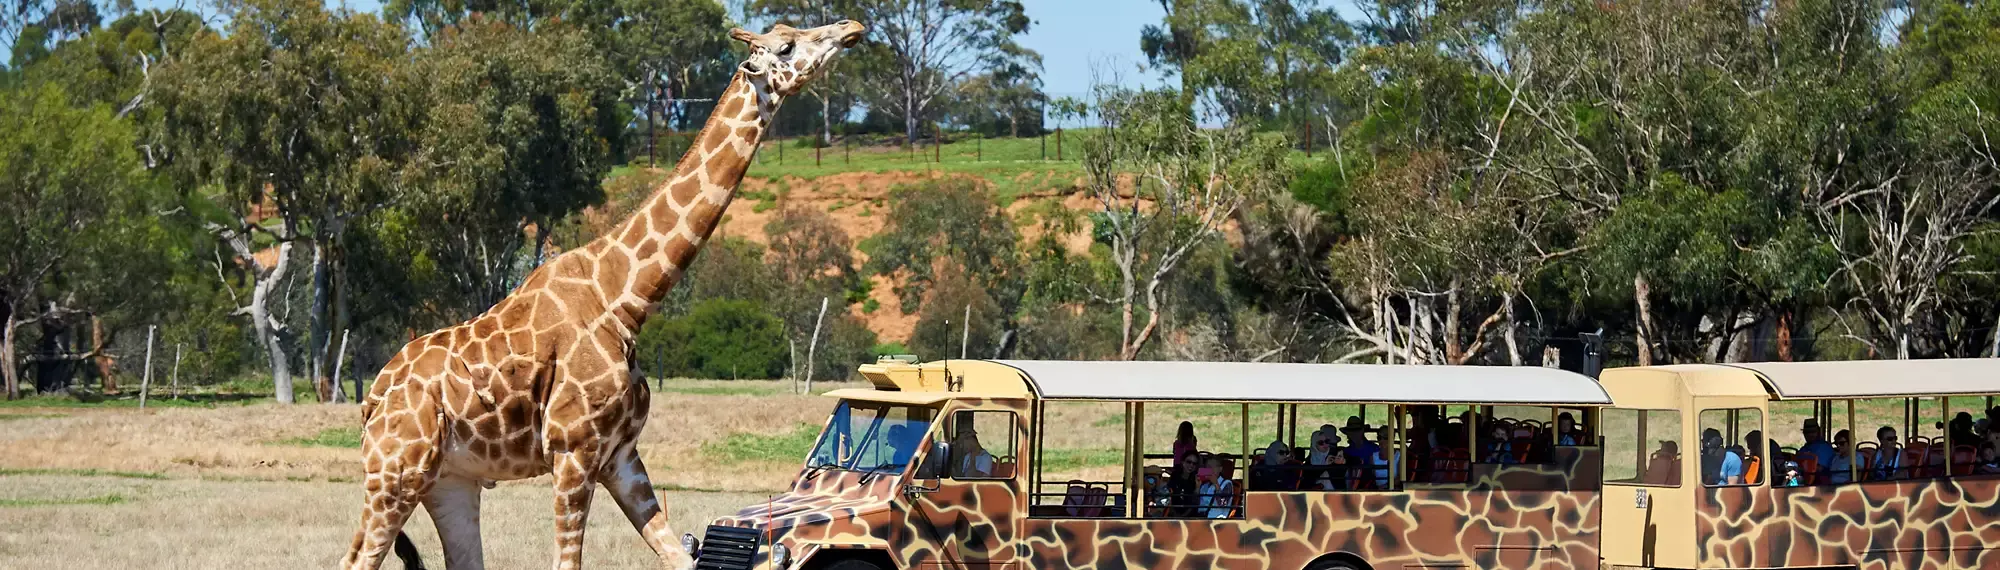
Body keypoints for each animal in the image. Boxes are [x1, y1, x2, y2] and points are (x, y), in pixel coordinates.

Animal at [338, 21, 868, 568]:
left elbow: (676, 555)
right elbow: (567, 560)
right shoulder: (573, 449)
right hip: (397, 472)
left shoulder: (622, 456)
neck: (625, 299)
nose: (850, 28)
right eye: (786, 45)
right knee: (356, 558)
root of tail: (371, 400)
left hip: (451, 481)